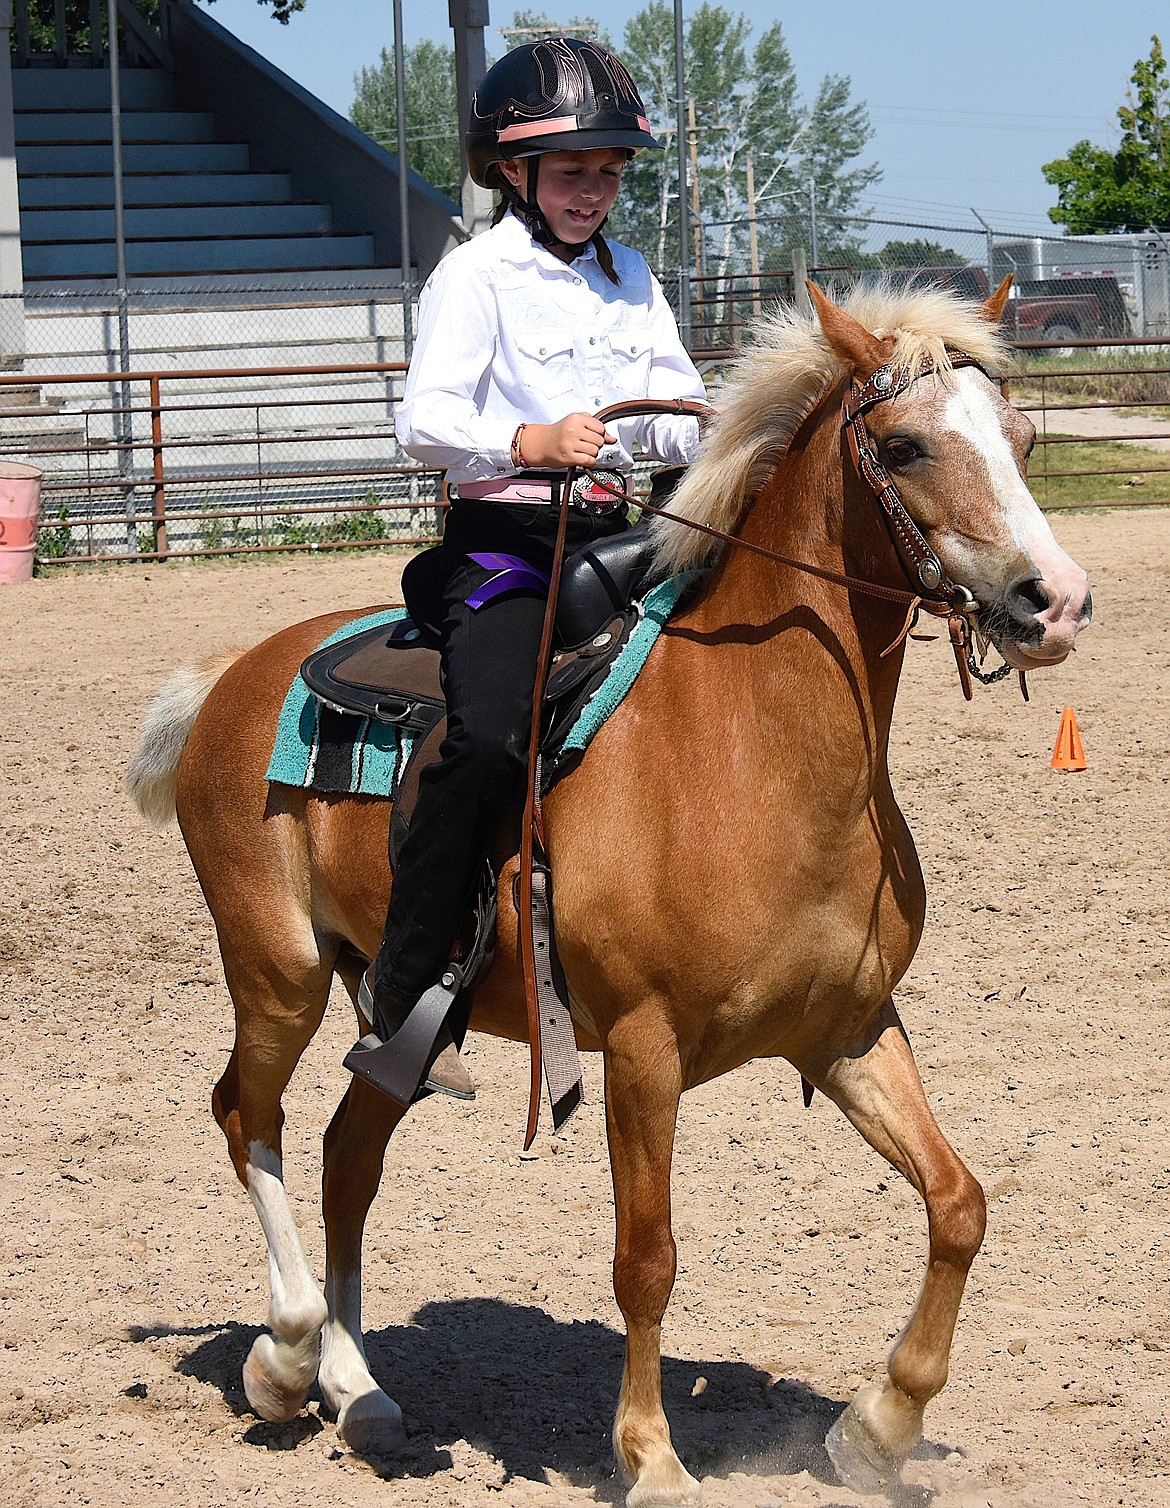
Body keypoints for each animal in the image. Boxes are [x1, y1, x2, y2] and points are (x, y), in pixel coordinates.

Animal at [125, 283, 1085, 1495]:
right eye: (907, 444)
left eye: (1022, 439)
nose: (1055, 601)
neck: (746, 744)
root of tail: (228, 678)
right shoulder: (639, 1044)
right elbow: (648, 1256)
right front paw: (652, 1456)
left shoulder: (851, 1027)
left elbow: (959, 1203)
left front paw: (878, 1424)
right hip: (277, 976)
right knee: (250, 1118)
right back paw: (289, 1355)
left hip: (397, 1008)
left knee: (348, 1152)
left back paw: (362, 1390)